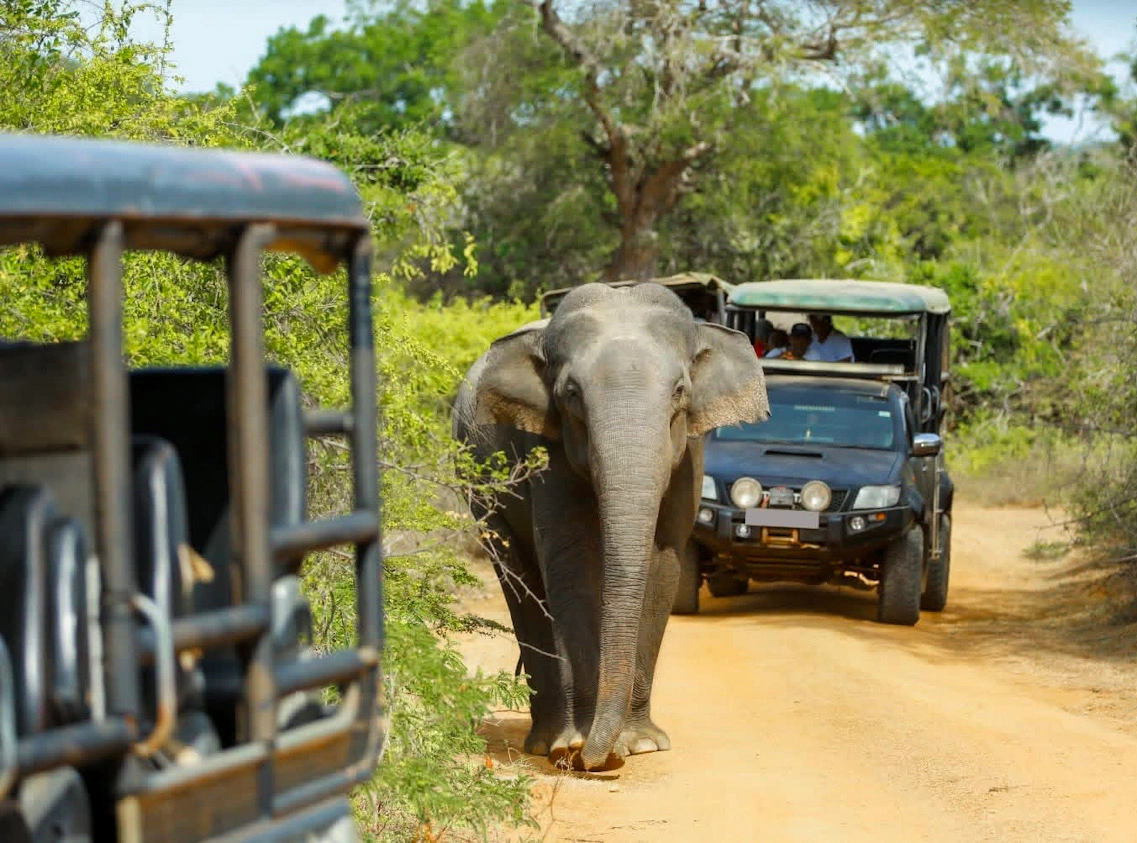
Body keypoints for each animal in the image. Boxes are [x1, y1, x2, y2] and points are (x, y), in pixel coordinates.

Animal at [452, 281, 768, 771]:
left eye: (680, 390)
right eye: (570, 393)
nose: (596, 758)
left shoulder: (690, 457)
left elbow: (663, 560)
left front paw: (639, 745)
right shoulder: (544, 447)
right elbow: (572, 561)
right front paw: (575, 745)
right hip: (481, 497)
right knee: (519, 580)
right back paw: (547, 742)